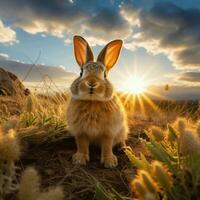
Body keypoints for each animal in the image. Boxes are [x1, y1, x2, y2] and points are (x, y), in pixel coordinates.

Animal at [66, 35, 129, 167]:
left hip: (123, 130)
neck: (93, 101)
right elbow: (82, 145)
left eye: (104, 74)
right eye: (81, 72)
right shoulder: (81, 132)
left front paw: (110, 162)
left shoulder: (108, 132)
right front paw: (79, 159)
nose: (91, 83)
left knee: (122, 140)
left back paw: (124, 148)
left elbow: (107, 145)